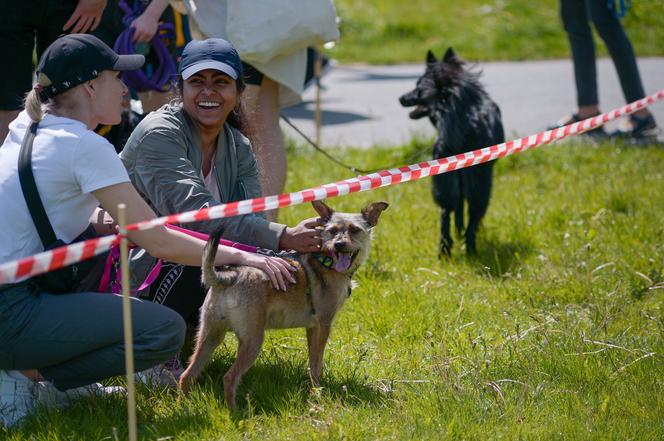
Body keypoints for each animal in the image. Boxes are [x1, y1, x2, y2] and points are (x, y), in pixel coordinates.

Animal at [182, 199, 390, 406]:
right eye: (332, 231)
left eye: (354, 230)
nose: (339, 244)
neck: (326, 261)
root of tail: (229, 277)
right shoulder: (324, 324)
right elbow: (317, 362)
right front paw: (318, 391)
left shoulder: (312, 327)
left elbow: (312, 361)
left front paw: (314, 387)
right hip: (252, 340)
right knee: (229, 377)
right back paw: (234, 409)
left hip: (210, 335)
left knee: (187, 374)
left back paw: (185, 403)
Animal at [400, 47, 504, 256]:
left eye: (417, 86)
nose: (401, 98)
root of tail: (466, 121)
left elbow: (457, 207)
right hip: (480, 179)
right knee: (472, 212)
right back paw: (469, 248)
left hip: (446, 175)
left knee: (445, 210)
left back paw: (446, 249)